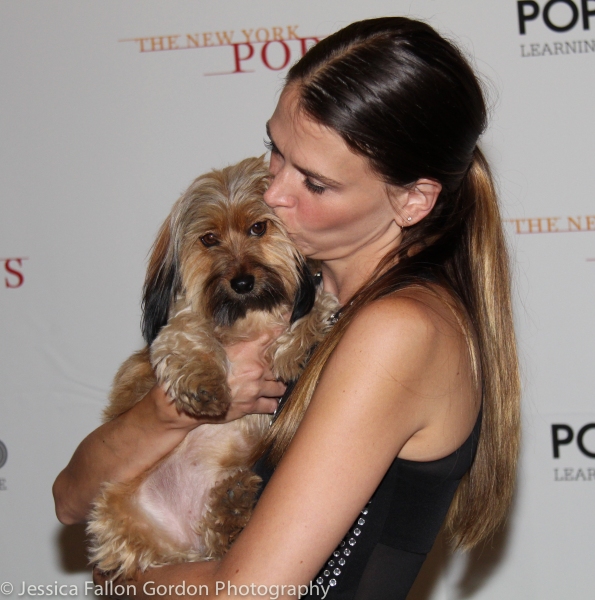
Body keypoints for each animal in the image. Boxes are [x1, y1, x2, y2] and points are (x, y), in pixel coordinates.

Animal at [88, 157, 340, 580]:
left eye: (259, 227)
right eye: (208, 239)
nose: (242, 282)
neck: (247, 313)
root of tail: (186, 538)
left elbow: (315, 304)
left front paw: (296, 345)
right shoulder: (182, 320)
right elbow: (190, 335)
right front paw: (205, 385)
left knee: (217, 529)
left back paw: (232, 504)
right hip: (119, 513)